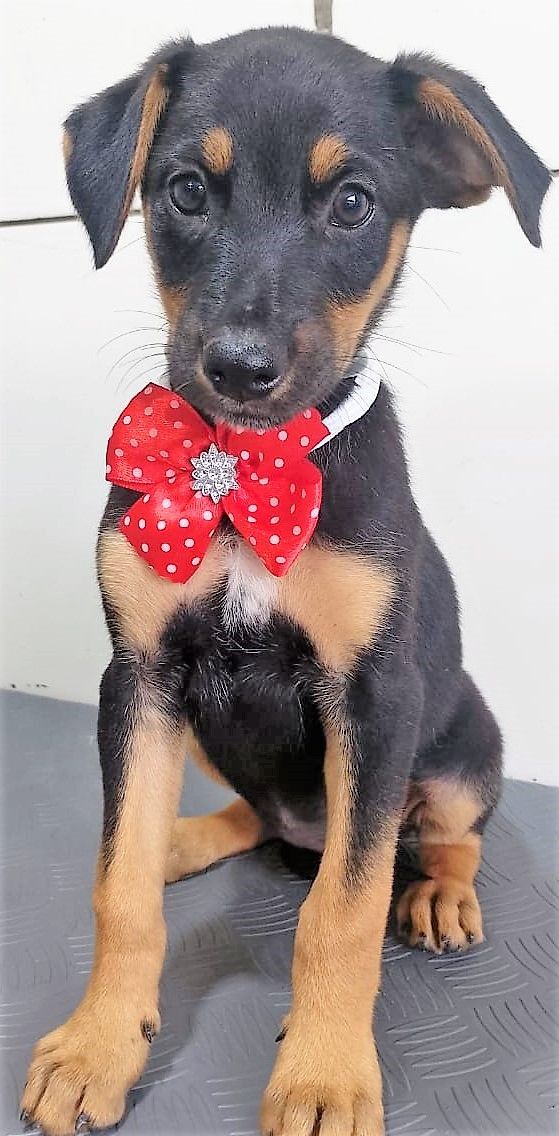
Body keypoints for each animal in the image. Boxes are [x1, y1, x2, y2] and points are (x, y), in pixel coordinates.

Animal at [21, 26, 550, 1136]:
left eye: (351, 202)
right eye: (183, 190)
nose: (238, 367)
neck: (241, 469)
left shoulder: (372, 697)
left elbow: (341, 911)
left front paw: (324, 1077)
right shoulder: (139, 677)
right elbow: (118, 888)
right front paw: (97, 1044)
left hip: (457, 747)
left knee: (442, 834)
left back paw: (437, 891)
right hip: (203, 730)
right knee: (248, 814)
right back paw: (184, 837)